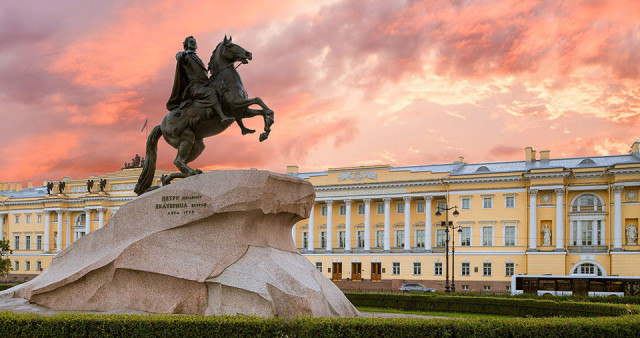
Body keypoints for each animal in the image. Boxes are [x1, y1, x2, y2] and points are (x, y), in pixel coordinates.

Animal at [134, 35, 274, 194]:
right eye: (230, 45)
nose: (248, 54)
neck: (225, 81)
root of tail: (161, 125)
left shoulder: (243, 111)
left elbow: (262, 110)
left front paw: (265, 131)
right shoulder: (236, 106)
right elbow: (259, 100)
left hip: (197, 146)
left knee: (180, 165)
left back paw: (176, 177)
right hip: (186, 139)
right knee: (178, 161)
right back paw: (188, 173)